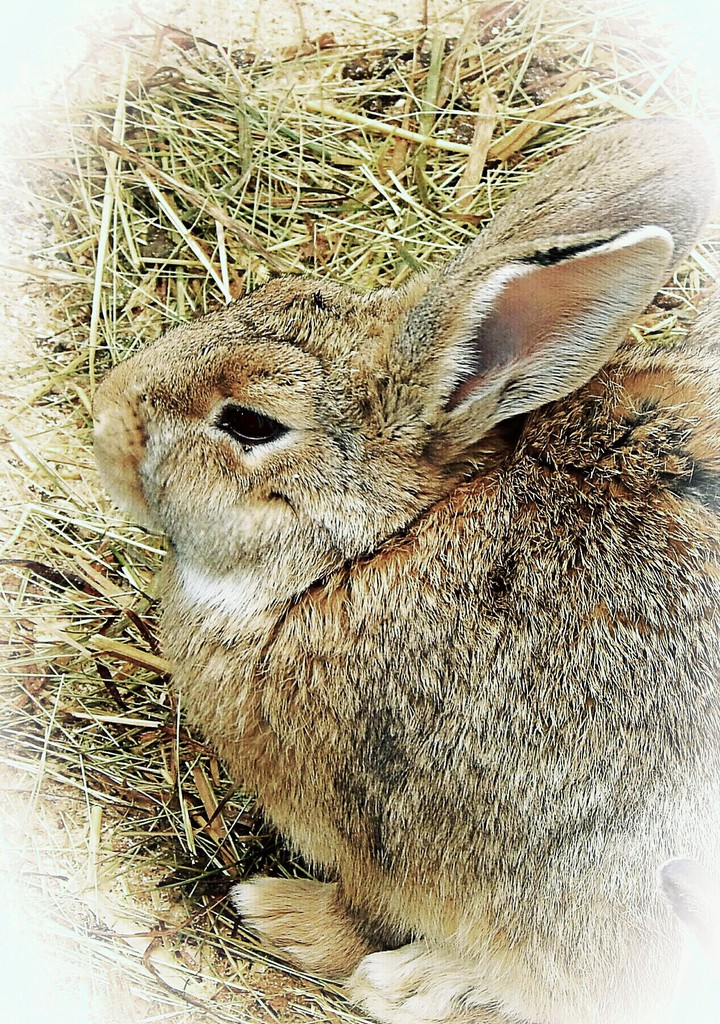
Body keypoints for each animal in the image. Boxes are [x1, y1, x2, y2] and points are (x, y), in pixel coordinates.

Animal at [93, 116, 720, 1024]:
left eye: (250, 423)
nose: (104, 417)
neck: (373, 547)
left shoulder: (386, 833)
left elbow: (361, 913)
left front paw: (281, 918)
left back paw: (406, 983)